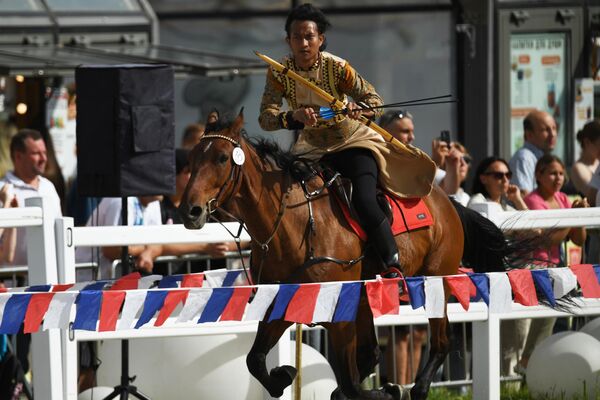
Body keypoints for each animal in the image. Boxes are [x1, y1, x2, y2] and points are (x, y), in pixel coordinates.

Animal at [178, 111, 516, 400]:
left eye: (222, 158)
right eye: (191, 158)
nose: (189, 211)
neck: (296, 223)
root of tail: (447, 200)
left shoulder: (339, 311)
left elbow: (351, 385)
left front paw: (387, 390)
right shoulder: (286, 301)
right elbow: (256, 360)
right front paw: (283, 375)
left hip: (435, 281)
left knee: (440, 344)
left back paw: (415, 389)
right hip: (367, 299)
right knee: (373, 355)